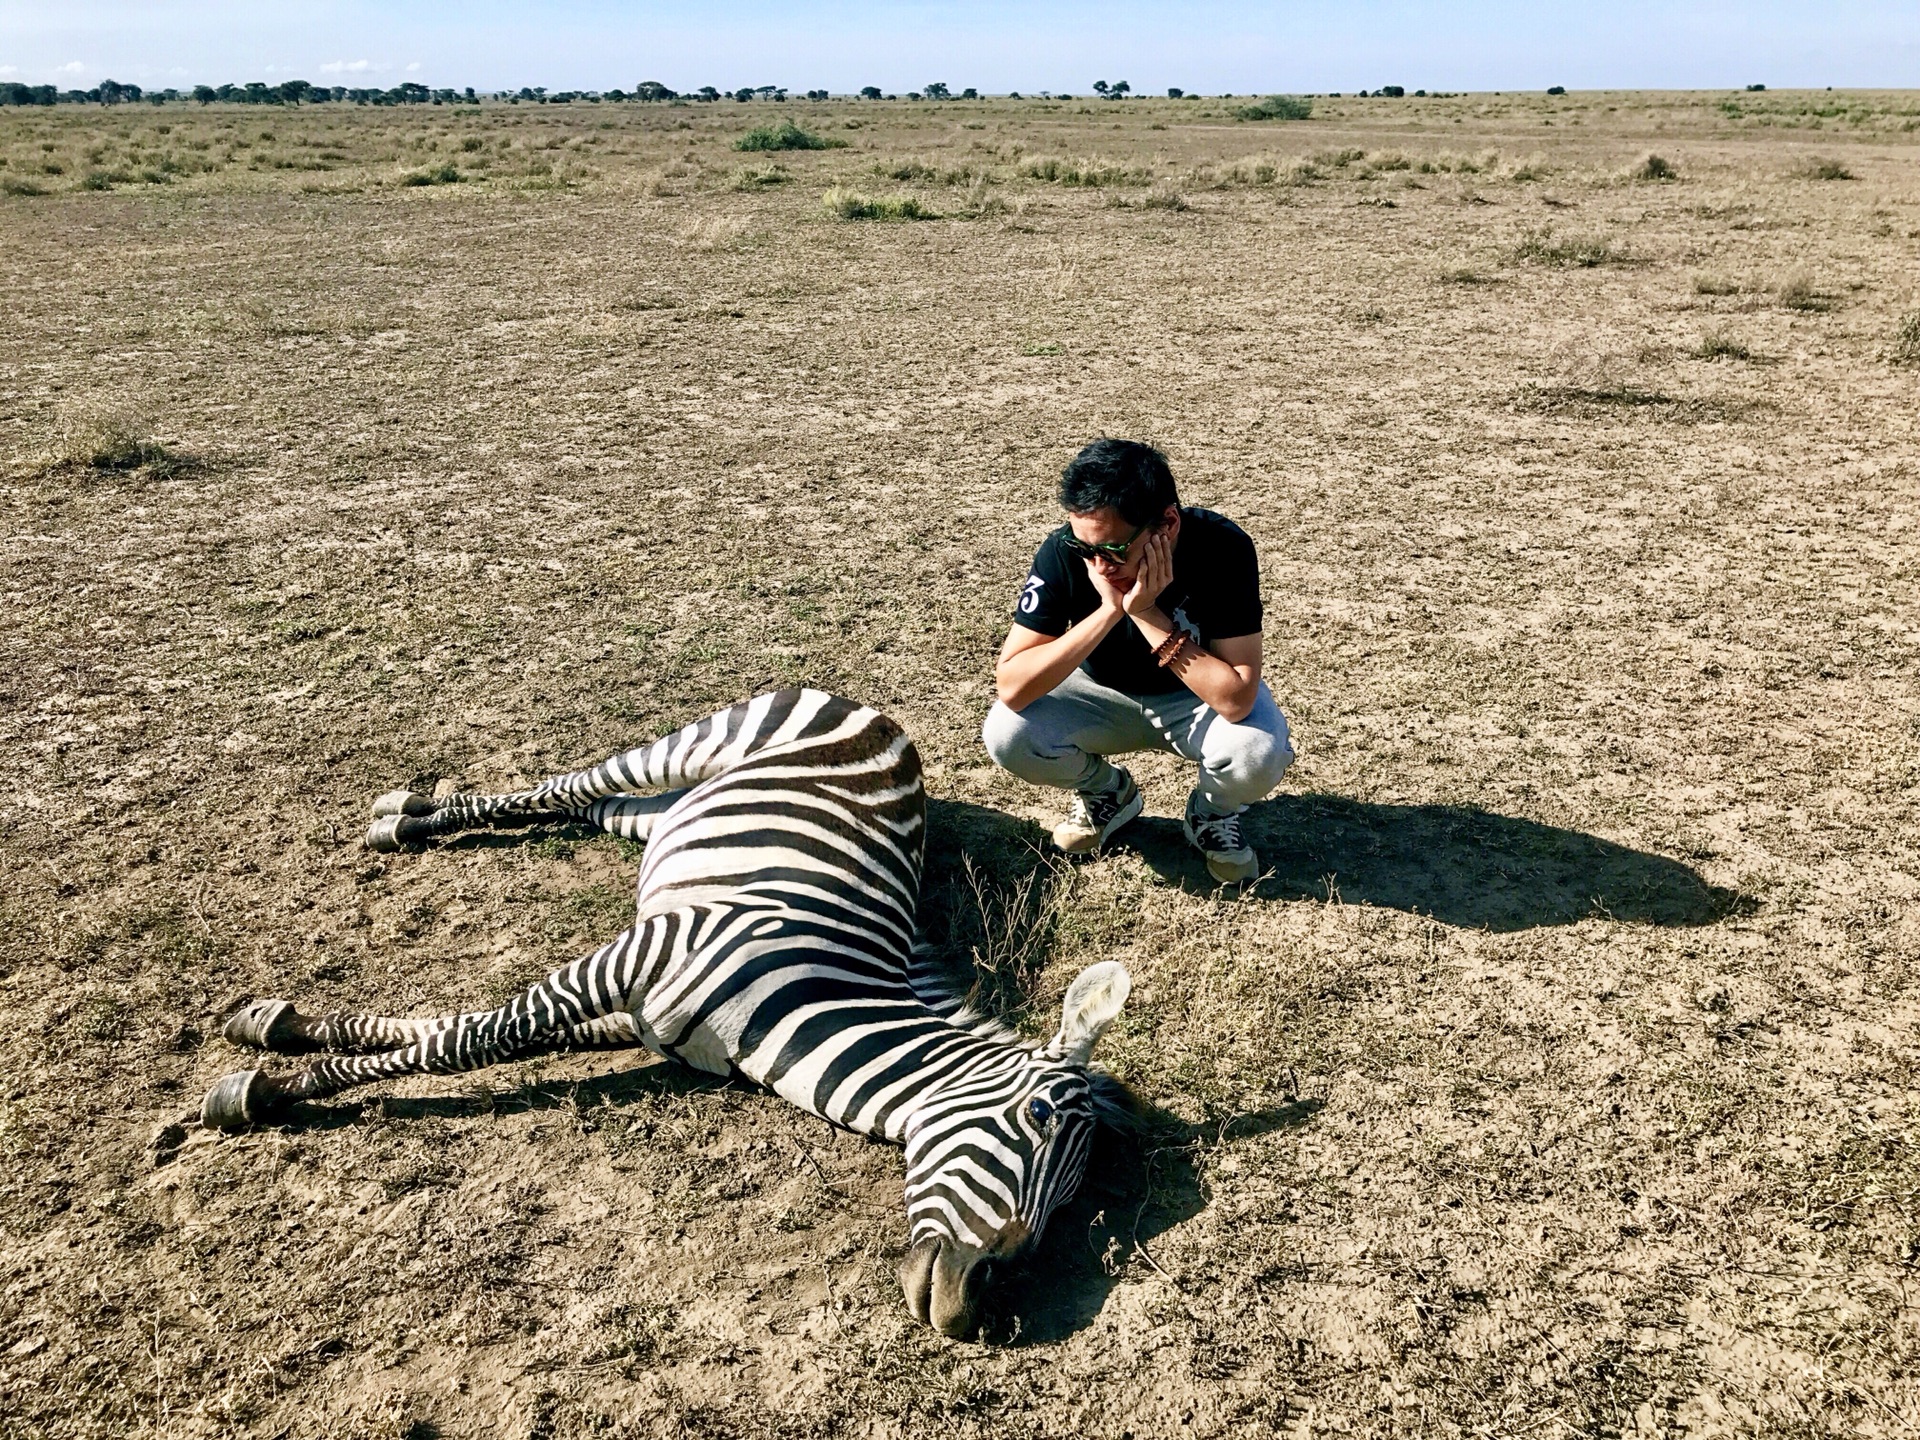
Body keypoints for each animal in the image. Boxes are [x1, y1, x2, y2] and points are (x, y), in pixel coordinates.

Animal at [206, 691, 1136, 1344]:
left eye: (1075, 1200)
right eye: (1037, 1118)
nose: (971, 1312)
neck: (809, 996)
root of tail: (886, 721)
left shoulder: (642, 1019)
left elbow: (451, 1034)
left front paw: (280, 1031)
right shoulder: (643, 952)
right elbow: (474, 1039)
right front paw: (271, 1088)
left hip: (665, 813)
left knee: (573, 809)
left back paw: (410, 820)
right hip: (683, 752)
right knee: (557, 787)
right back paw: (405, 817)